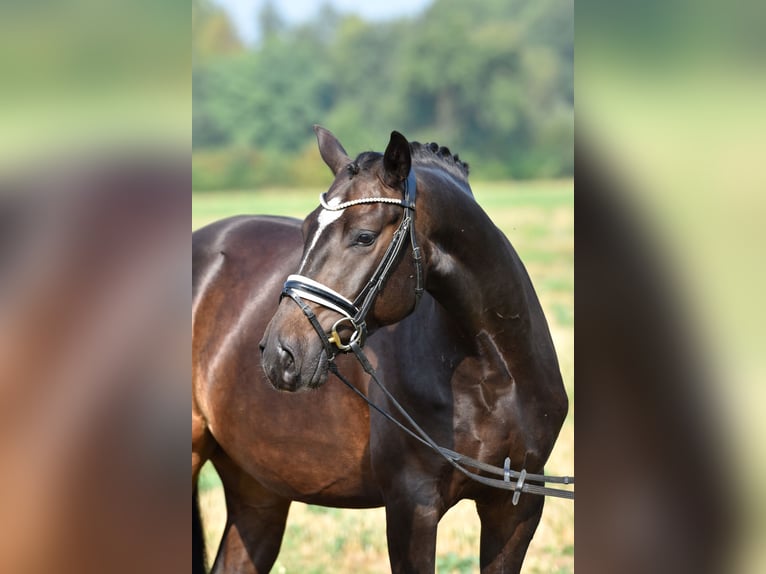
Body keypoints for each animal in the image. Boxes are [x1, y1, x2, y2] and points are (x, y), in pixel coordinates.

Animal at [192, 128, 568, 572]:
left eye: (364, 236)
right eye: (305, 231)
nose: (280, 354)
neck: (494, 370)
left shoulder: (516, 506)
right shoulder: (411, 505)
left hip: (258, 489)